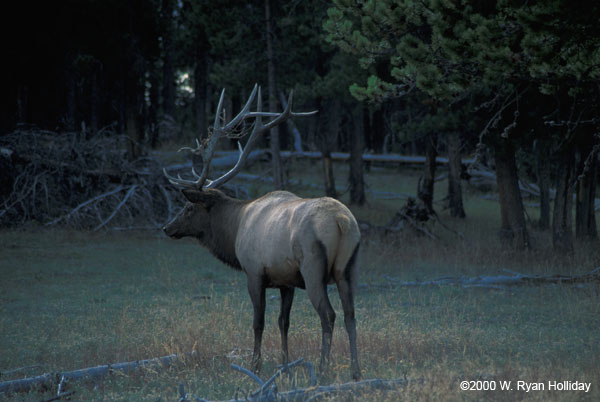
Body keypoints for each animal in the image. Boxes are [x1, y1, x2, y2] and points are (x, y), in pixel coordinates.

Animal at [163, 85, 360, 380]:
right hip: (347, 269)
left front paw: (255, 364)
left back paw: (323, 368)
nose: (167, 227)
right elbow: (283, 322)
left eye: (188, 208)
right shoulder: (286, 281)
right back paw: (356, 371)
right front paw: (285, 364)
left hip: (314, 268)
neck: (234, 230)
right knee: (350, 314)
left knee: (329, 315)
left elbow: (258, 321)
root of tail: (342, 222)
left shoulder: (254, 272)